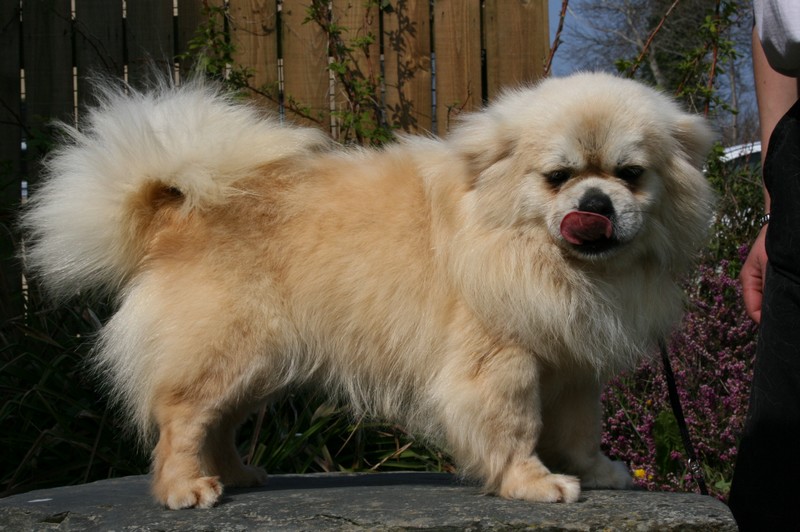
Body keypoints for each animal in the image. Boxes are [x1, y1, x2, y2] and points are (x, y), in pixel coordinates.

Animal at [21, 72, 714, 509]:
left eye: (631, 175)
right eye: (558, 178)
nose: (594, 205)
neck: (553, 262)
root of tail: (174, 205)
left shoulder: (569, 364)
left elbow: (578, 431)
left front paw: (598, 474)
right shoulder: (503, 363)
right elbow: (515, 429)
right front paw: (533, 484)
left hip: (259, 367)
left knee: (218, 425)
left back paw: (237, 476)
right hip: (227, 355)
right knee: (182, 420)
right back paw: (185, 489)